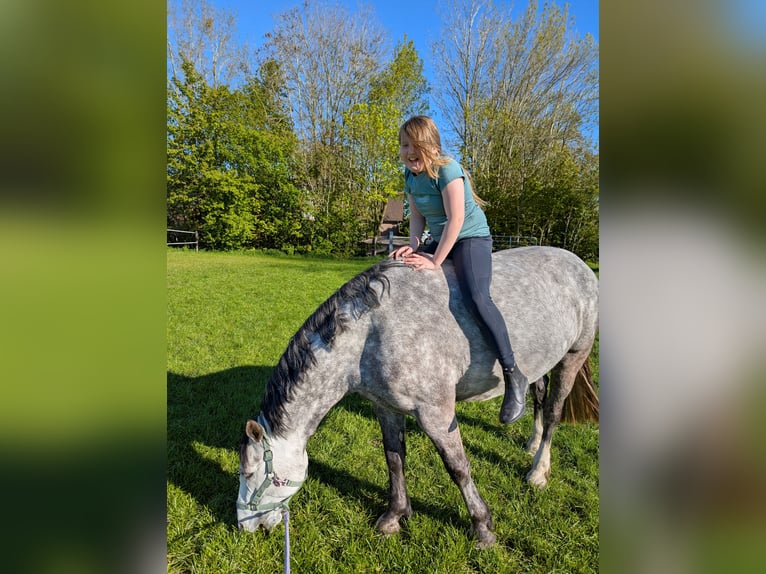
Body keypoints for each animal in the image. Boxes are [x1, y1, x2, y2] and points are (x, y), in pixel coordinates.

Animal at [237, 246, 599, 547]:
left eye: (250, 473)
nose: (245, 527)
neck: (371, 332)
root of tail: (579, 264)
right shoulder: (386, 407)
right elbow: (394, 459)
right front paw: (394, 516)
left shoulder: (436, 413)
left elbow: (458, 467)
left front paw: (482, 527)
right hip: (540, 363)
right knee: (536, 395)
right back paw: (531, 442)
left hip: (573, 357)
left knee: (553, 412)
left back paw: (538, 471)